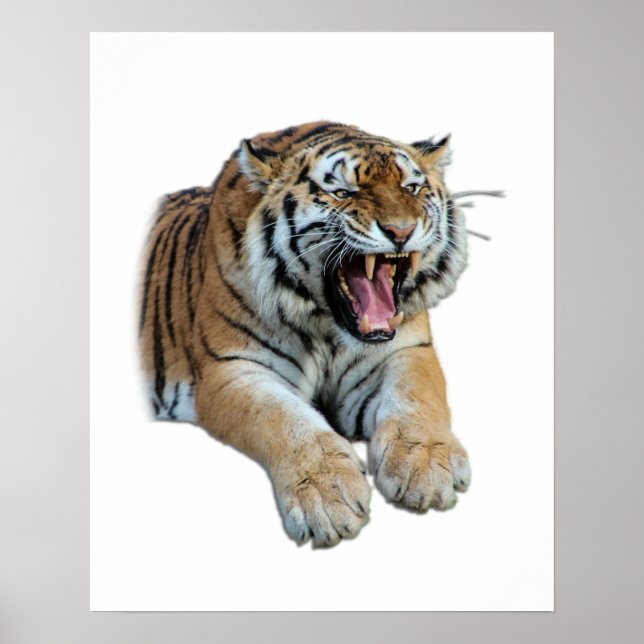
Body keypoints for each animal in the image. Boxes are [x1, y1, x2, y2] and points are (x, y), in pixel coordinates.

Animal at [138, 121, 472, 547]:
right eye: (343, 192)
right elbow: (284, 419)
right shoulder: (232, 368)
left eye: (411, 188)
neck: (328, 326)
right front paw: (328, 497)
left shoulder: (405, 349)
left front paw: (426, 466)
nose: (401, 231)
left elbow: (416, 399)